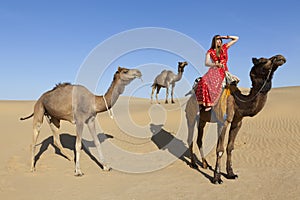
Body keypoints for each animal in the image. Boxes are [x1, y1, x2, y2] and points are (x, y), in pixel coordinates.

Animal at [185, 54, 286, 184]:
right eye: (263, 61)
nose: (280, 57)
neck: (238, 101)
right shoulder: (223, 122)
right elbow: (220, 149)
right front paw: (217, 178)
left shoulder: (237, 122)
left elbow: (230, 147)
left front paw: (231, 173)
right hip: (191, 116)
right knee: (190, 138)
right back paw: (193, 164)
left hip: (202, 120)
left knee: (199, 139)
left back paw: (205, 164)